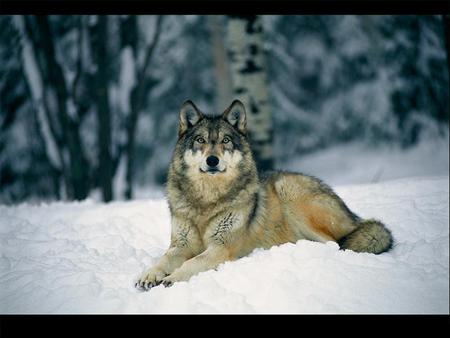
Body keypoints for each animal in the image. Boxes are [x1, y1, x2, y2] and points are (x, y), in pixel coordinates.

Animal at [134, 98, 394, 290]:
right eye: (200, 140)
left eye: (225, 141)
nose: (212, 160)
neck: (207, 200)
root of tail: (354, 217)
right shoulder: (180, 245)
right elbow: (163, 259)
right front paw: (149, 275)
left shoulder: (221, 247)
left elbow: (191, 263)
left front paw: (171, 278)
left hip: (290, 192)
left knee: (335, 243)